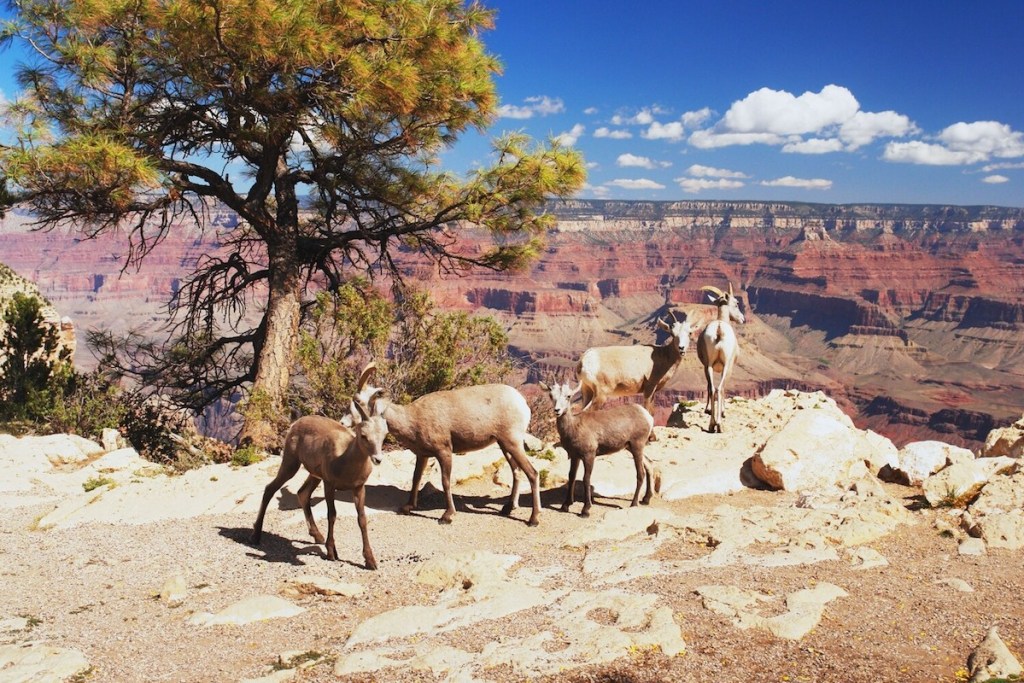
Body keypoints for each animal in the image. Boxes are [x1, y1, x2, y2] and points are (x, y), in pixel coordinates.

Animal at [251, 366, 387, 569]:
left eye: (384, 434)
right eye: (363, 435)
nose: (377, 459)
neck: (344, 459)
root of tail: (296, 422)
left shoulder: (358, 488)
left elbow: (362, 519)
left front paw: (370, 561)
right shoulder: (329, 485)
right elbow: (332, 514)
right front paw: (332, 552)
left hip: (314, 475)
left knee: (302, 493)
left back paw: (318, 536)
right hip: (291, 463)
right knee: (270, 488)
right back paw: (255, 536)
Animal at [354, 376, 544, 528]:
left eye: (360, 403)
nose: (348, 424)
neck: (413, 419)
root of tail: (523, 403)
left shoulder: (444, 451)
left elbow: (445, 481)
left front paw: (447, 516)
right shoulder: (422, 455)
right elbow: (416, 479)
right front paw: (407, 507)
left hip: (512, 443)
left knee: (533, 473)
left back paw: (533, 520)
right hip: (505, 445)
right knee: (517, 471)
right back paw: (507, 509)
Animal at [536, 378, 655, 518]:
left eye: (568, 396)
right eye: (551, 395)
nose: (557, 410)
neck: (574, 426)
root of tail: (646, 415)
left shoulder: (589, 456)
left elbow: (586, 478)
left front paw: (585, 510)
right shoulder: (574, 456)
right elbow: (571, 476)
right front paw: (565, 505)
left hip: (637, 446)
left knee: (640, 473)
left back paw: (634, 503)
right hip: (631, 448)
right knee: (649, 465)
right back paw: (646, 499)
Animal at [696, 284, 745, 436]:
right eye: (736, 303)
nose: (742, 319)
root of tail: (719, 329)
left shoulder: (706, 366)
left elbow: (708, 386)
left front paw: (707, 410)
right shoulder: (728, 368)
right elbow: (724, 388)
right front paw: (723, 412)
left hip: (709, 366)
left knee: (712, 388)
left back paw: (711, 425)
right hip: (726, 367)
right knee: (719, 388)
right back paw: (719, 425)